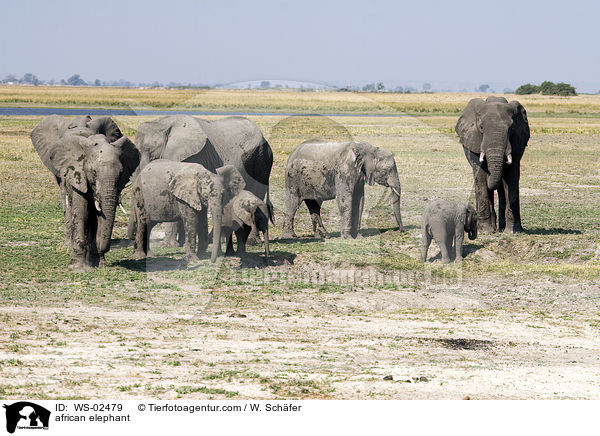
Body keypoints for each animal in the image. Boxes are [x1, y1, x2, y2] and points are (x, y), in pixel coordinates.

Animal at [31, 114, 139, 268]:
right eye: (93, 172)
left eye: (121, 173)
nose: (103, 250)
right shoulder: (77, 173)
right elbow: (81, 210)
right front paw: (78, 266)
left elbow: (99, 217)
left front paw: (98, 262)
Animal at [131, 115, 274, 245]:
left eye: (150, 152)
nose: (132, 237)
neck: (164, 124)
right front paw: (182, 243)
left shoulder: (192, 157)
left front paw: (168, 245)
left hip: (260, 159)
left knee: (256, 195)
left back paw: (251, 242)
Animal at [454, 96, 528, 233]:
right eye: (481, 127)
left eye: (512, 129)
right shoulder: (474, 141)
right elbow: (481, 177)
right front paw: (485, 231)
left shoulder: (517, 142)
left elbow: (512, 177)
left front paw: (514, 231)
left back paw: (502, 228)